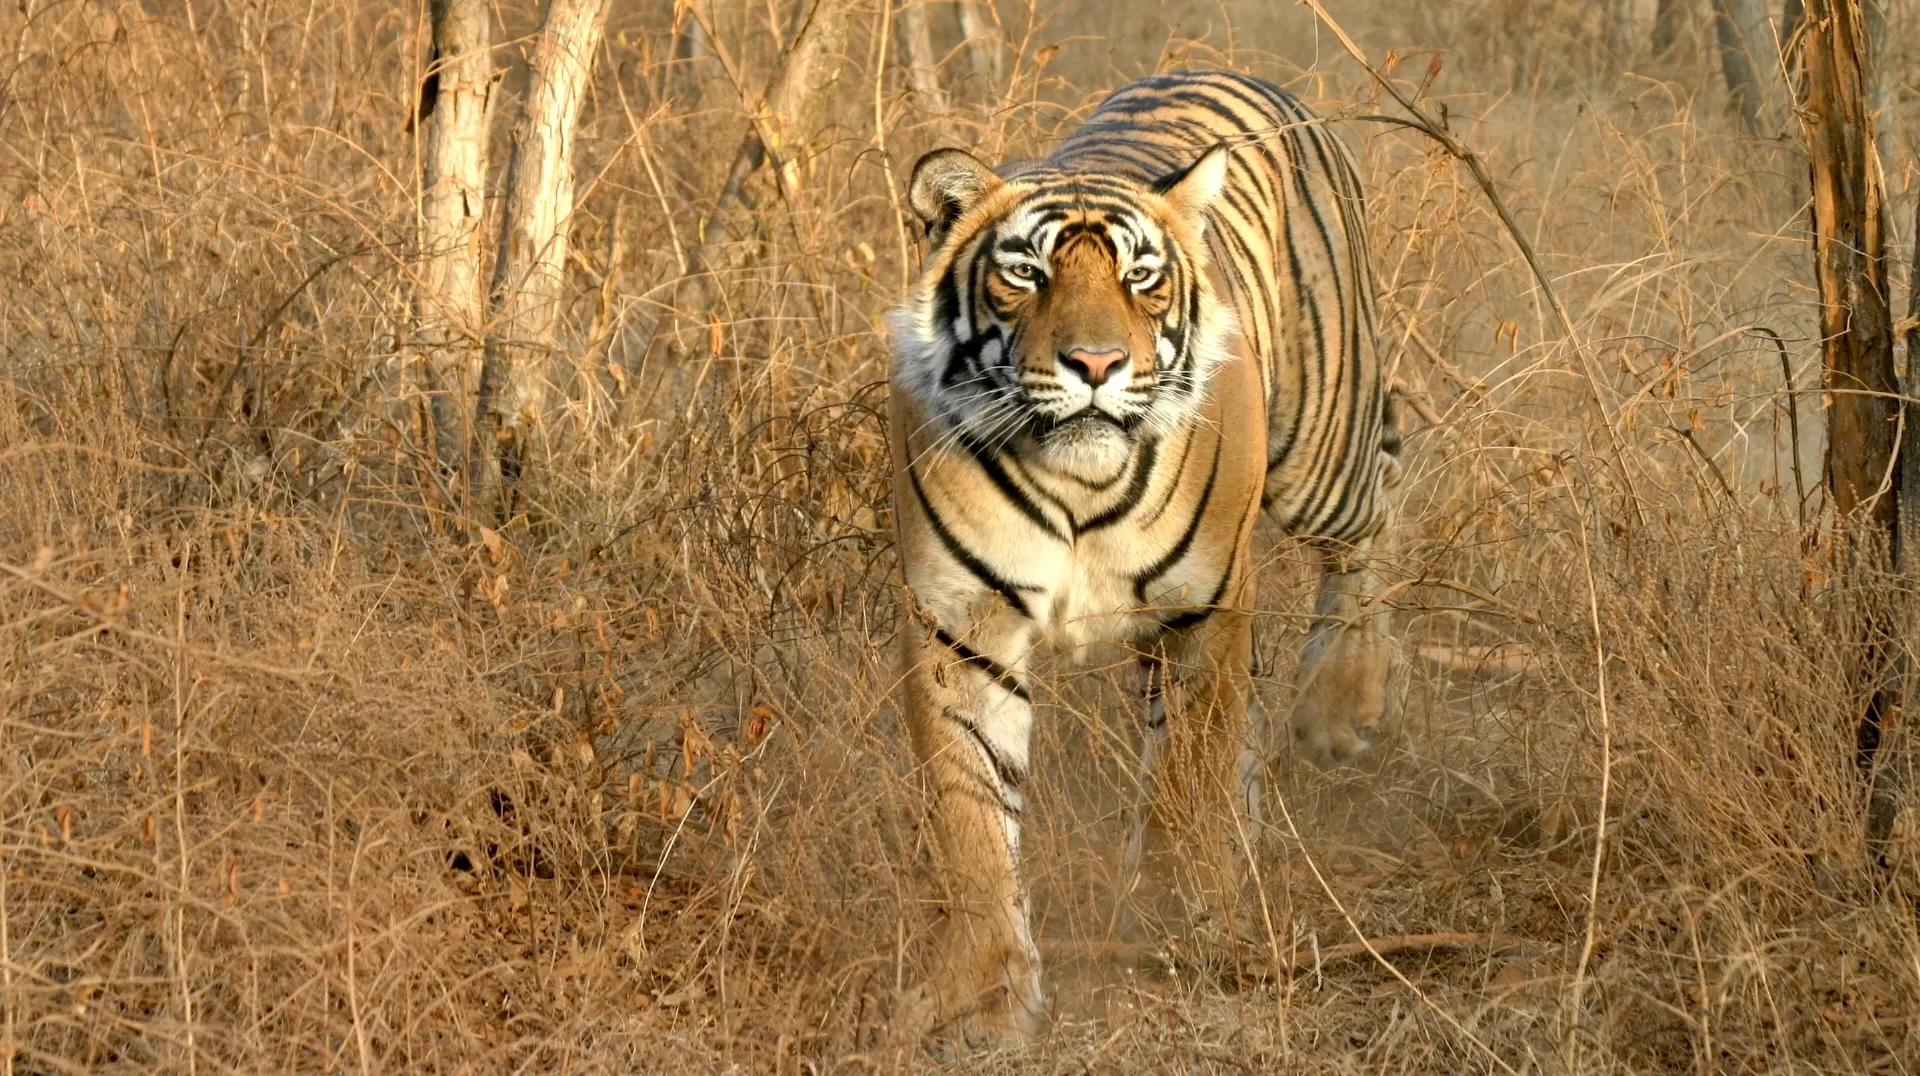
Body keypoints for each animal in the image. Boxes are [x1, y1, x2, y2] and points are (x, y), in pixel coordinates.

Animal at [887, 69, 1399, 1046]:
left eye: (1140, 276)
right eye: (1026, 272)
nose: (1095, 363)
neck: (1079, 483)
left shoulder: (1203, 608)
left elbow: (1183, 778)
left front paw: (1172, 925)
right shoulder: (964, 627)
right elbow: (971, 817)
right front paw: (984, 995)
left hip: (1323, 457)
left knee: (1378, 522)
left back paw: (1343, 706)